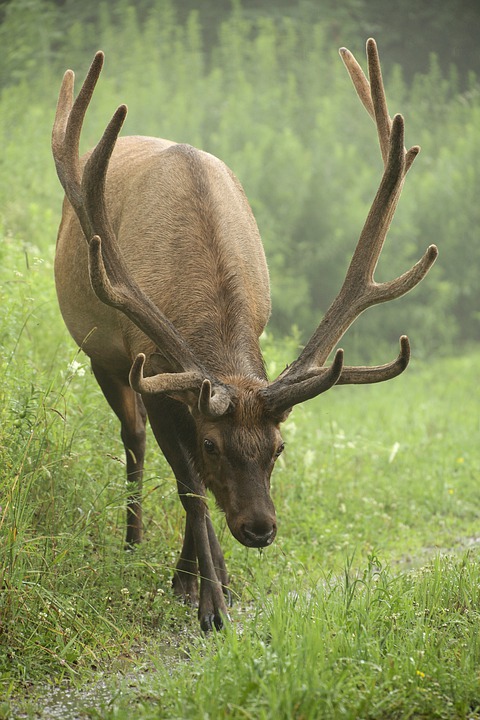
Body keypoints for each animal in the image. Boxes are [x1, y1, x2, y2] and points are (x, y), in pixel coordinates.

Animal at [53, 40, 438, 632]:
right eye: (216, 443)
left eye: (279, 447)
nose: (260, 528)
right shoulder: (154, 371)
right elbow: (192, 488)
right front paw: (210, 606)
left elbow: (197, 486)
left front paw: (204, 585)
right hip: (103, 354)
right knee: (134, 439)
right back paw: (135, 544)